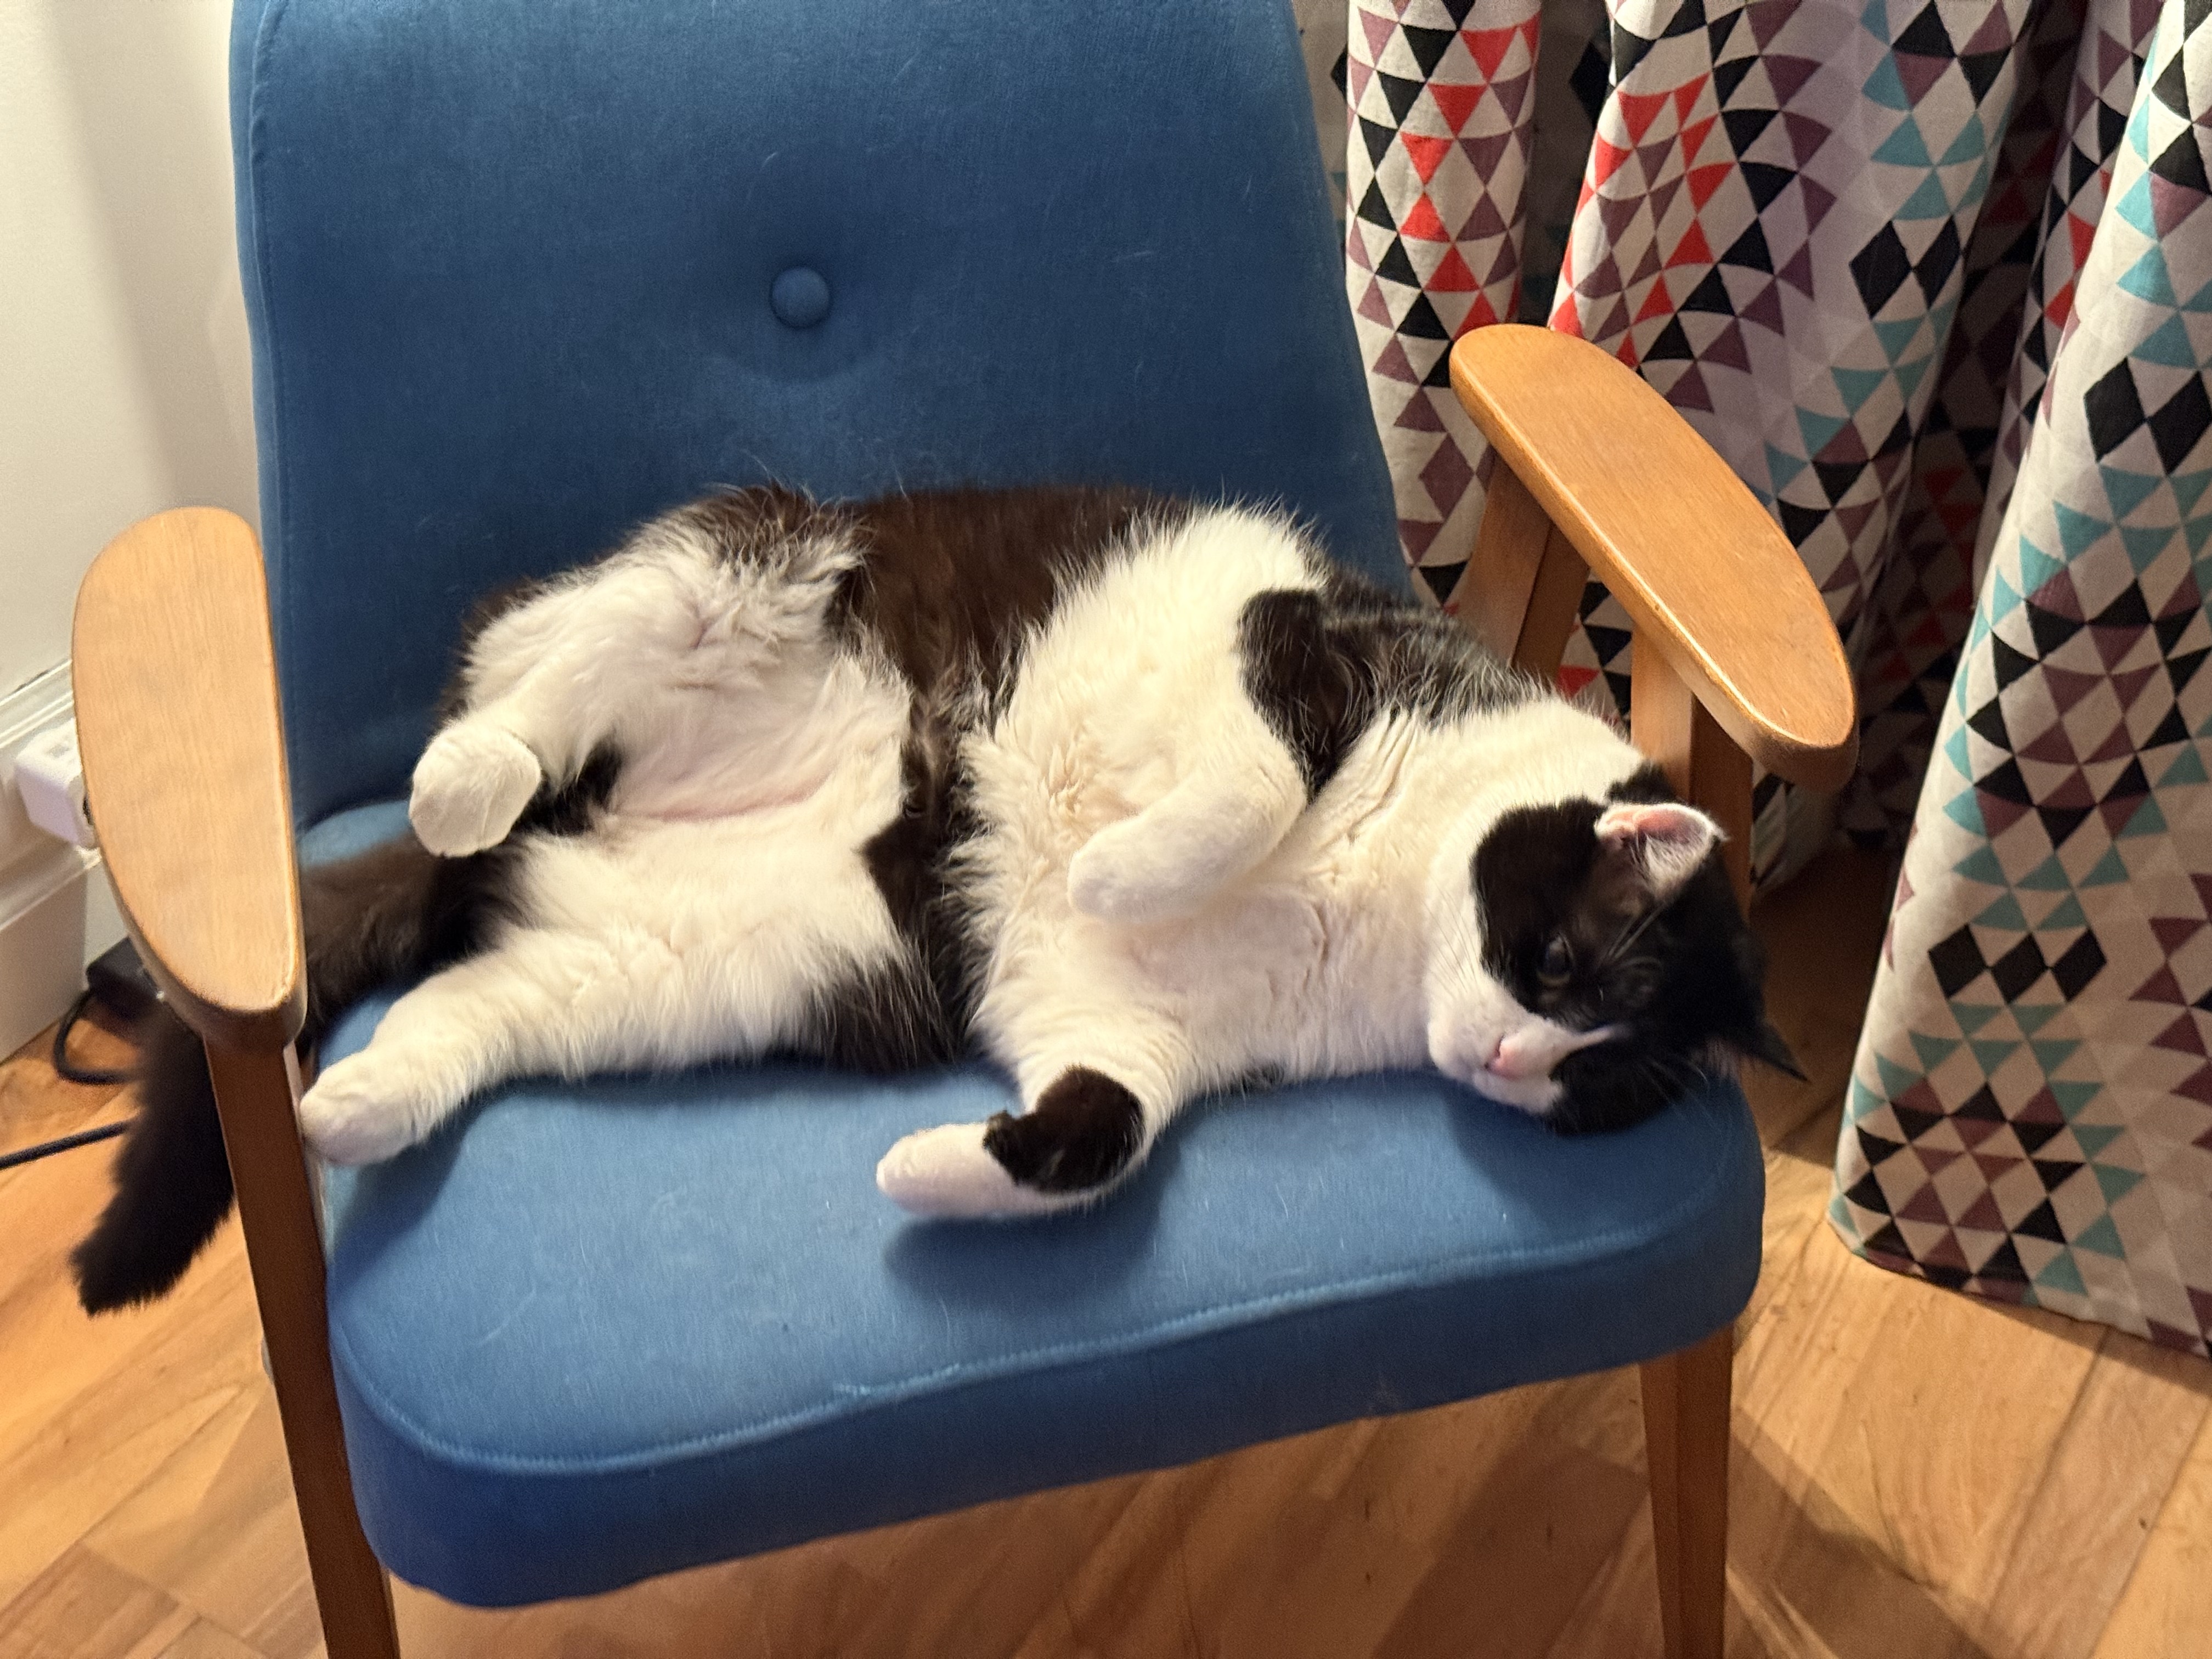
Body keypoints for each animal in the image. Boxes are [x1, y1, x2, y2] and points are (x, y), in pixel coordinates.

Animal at [72, 483, 1798, 1312]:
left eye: (1597, 1093)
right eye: (1561, 964)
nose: (1510, 1060)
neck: (1375, 918)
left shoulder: (1124, 1028)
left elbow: (1102, 1133)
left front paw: (927, 1168)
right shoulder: (1293, 647)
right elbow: (1249, 786)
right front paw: (1114, 858)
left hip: (699, 961)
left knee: (462, 1003)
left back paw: (355, 1108)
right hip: (756, 566)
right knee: (541, 679)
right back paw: (465, 780)